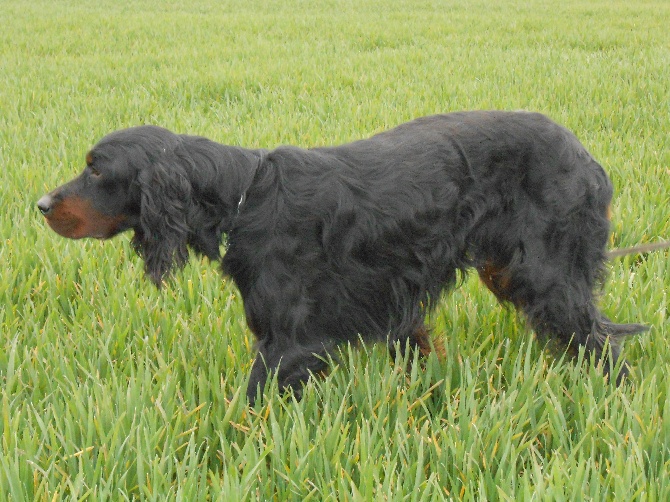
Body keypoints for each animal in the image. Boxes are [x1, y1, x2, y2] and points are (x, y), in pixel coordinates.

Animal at [39, 112, 648, 402]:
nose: (41, 205)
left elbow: (249, 407)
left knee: (602, 342)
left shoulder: (290, 343)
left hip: (545, 273)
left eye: (97, 170)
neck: (244, 197)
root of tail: (586, 157)